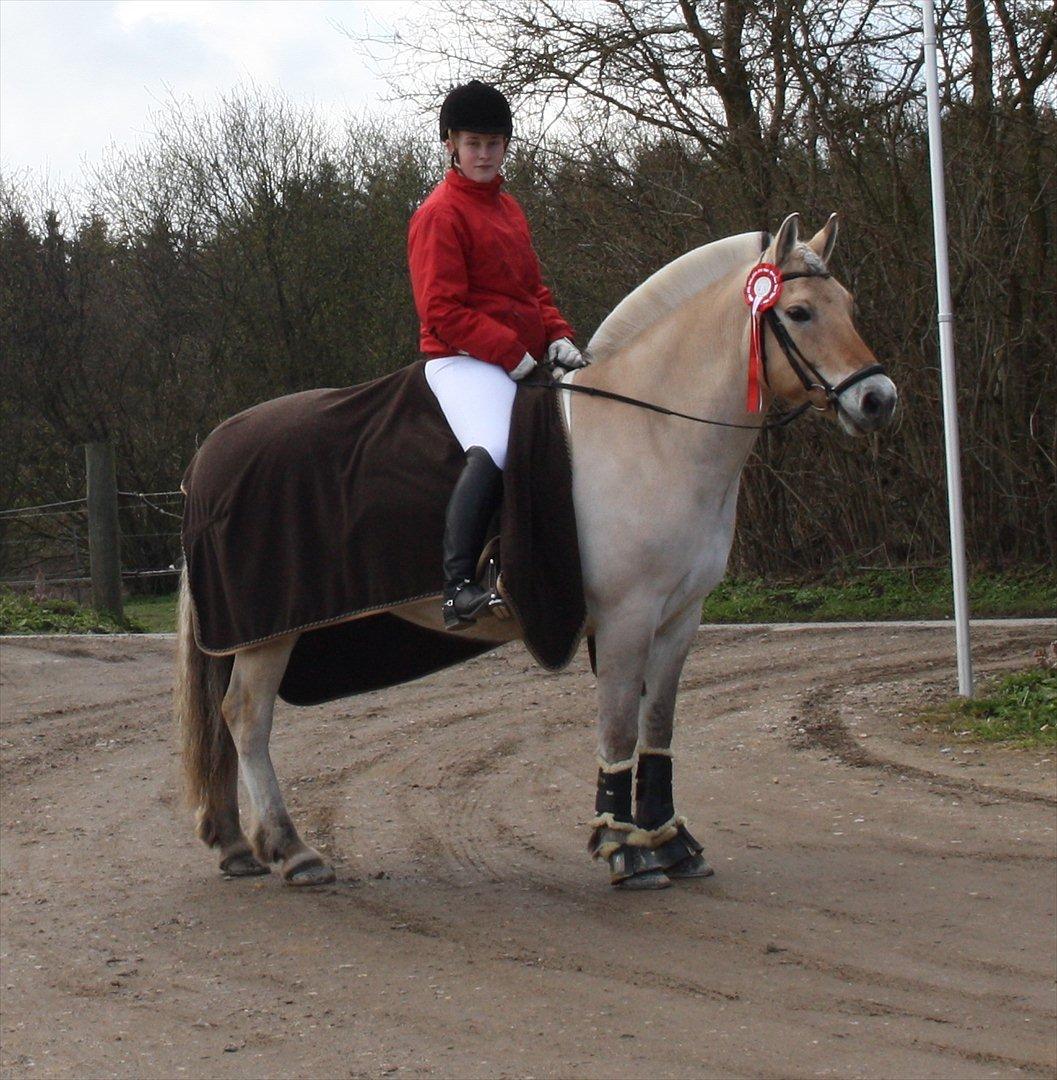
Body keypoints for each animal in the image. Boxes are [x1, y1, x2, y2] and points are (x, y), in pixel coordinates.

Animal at [178, 214, 898, 889]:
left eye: (849, 305)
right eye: (799, 312)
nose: (877, 399)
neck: (651, 429)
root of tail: (213, 450)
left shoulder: (679, 617)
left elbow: (658, 726)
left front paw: (670, 841)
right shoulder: (626, 616)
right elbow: (618, 726)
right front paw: (625, 851)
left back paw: (240, 845)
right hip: (266, 633)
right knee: (246, 717)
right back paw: (291, 849)